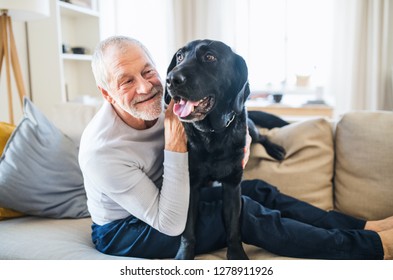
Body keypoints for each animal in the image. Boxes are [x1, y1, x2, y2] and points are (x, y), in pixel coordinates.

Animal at [164, 39, 286, 260]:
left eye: (210, 57)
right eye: (179, 56)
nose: (171, 79)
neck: (212, 134)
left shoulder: (232, 185)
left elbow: (233, 227)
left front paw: (237, 254)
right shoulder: (190, 185)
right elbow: (188, 230)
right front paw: (184, 256)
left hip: (251, 130)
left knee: (262, 136)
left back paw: (275, 149)